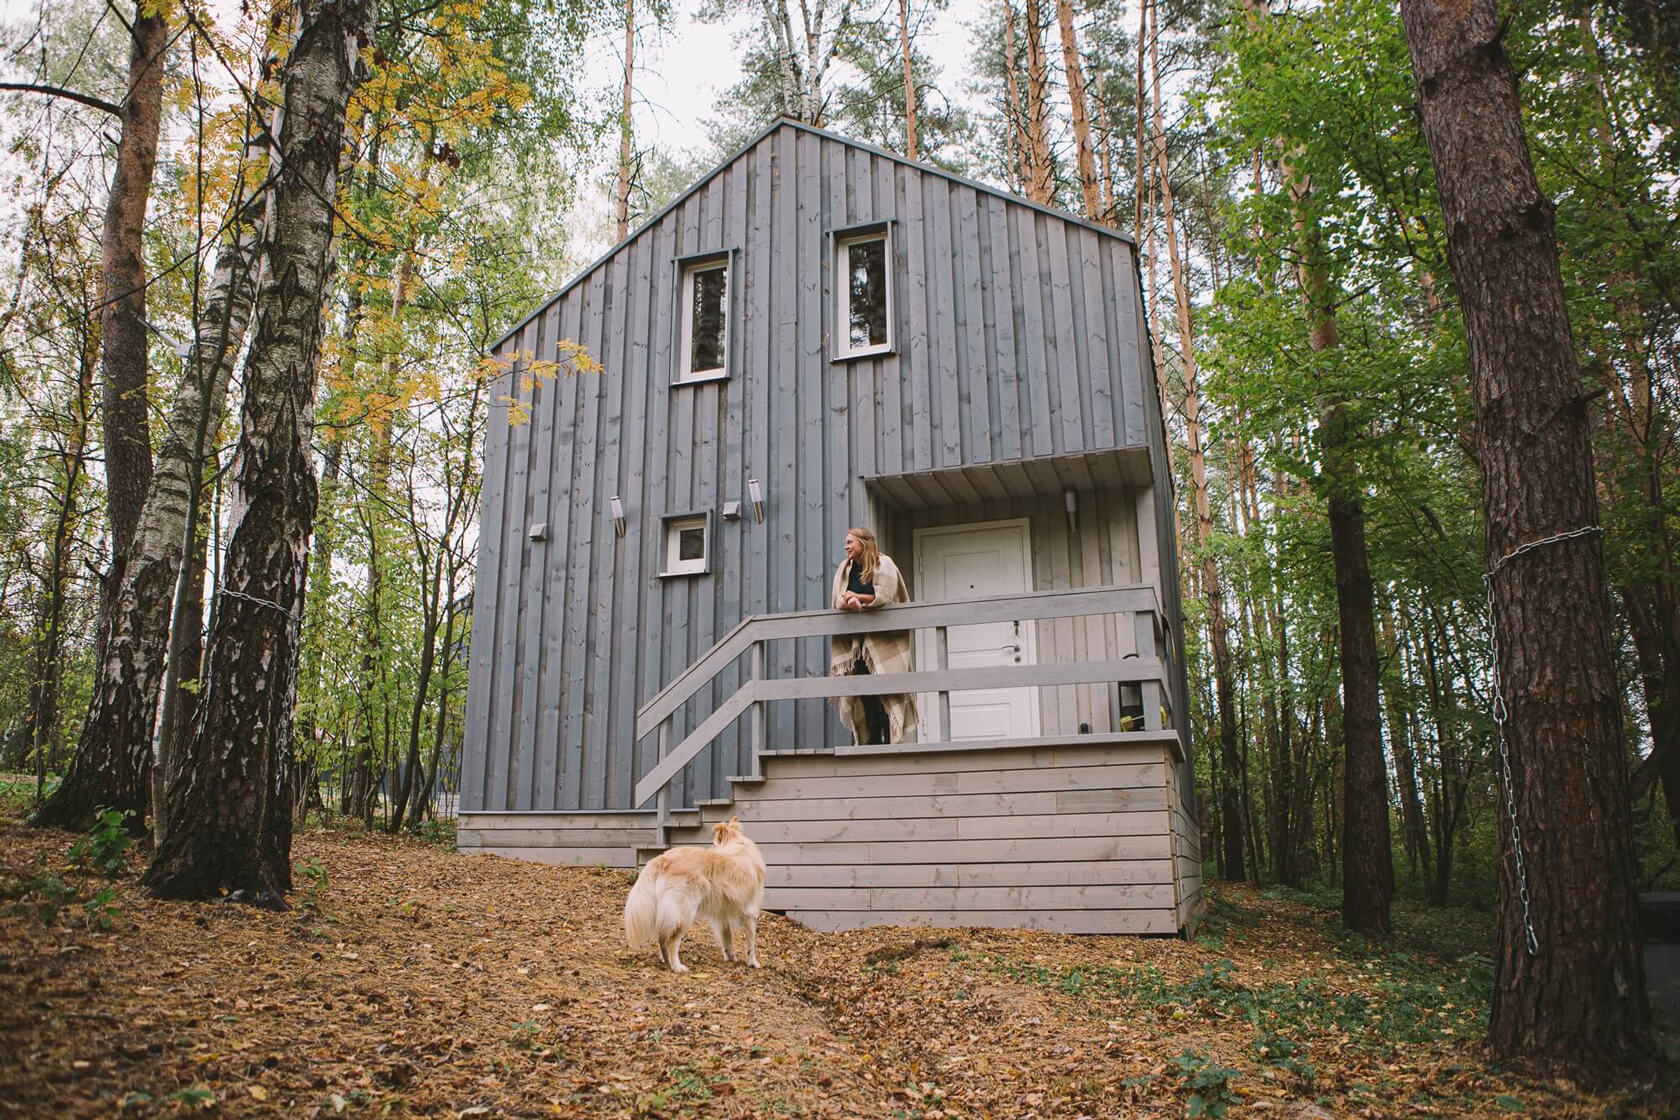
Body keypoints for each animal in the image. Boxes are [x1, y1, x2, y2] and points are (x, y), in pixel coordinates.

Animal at [624, 816, 769, 973]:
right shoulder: (750, 913)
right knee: (672, 941)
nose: (709, 848)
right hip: (684, 913)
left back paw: (666, 961)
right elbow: (751, 943)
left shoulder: (722, 915)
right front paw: (752, 963)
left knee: (662, 937)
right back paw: (677, 966)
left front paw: (730, 957)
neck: (737, 845)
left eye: (713, 844)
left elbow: (727, 938)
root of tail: (663, 858)